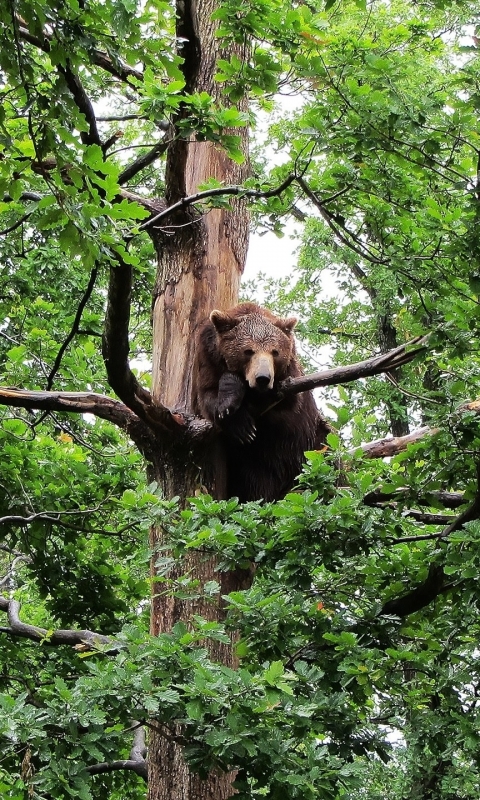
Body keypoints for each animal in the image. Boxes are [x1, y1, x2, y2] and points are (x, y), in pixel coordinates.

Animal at [191, 300, 330, 500]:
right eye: (248, 351)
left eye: (275, 352)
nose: (263, 378)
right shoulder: (207, 358)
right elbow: (209, 398)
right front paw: (239, 421)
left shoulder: (290, 379)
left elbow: (287, 401)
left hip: (311, 444)